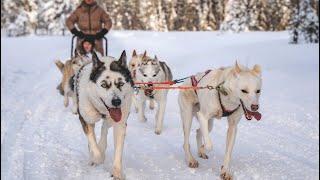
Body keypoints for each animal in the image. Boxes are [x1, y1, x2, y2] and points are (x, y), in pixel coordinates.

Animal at [74, 50, 133, 179]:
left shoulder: (120, 124)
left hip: (112, 120)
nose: (116, 102)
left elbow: (118, 151)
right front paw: (97, 158)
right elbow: (92, 141)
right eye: (104, 85)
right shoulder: (85, 119)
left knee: (105, 127)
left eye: (121, 83)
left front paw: (117, 173)